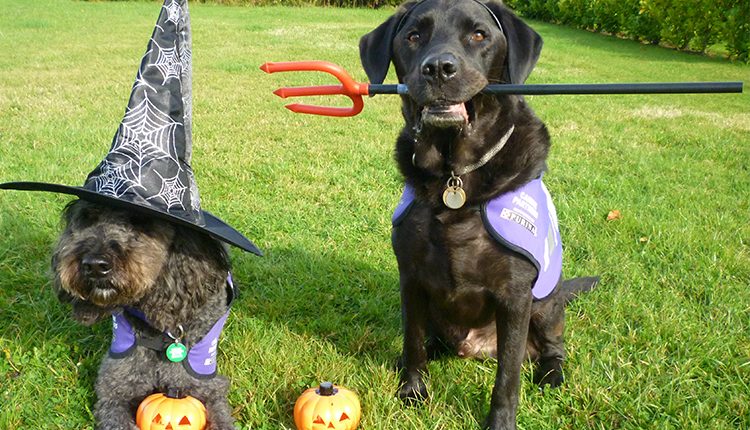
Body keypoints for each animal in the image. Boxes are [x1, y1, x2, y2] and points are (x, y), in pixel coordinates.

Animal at [358, 1, 600, 428]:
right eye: (413, 36)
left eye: (478, 34)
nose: (439, 68)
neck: (454, 175)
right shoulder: (411, 278)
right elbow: (413, 341)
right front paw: (412, 390)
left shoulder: (516, 294)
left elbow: (508, 374)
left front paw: (500, 421)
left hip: (547, 303)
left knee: (552, 348)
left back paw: (551, 375)